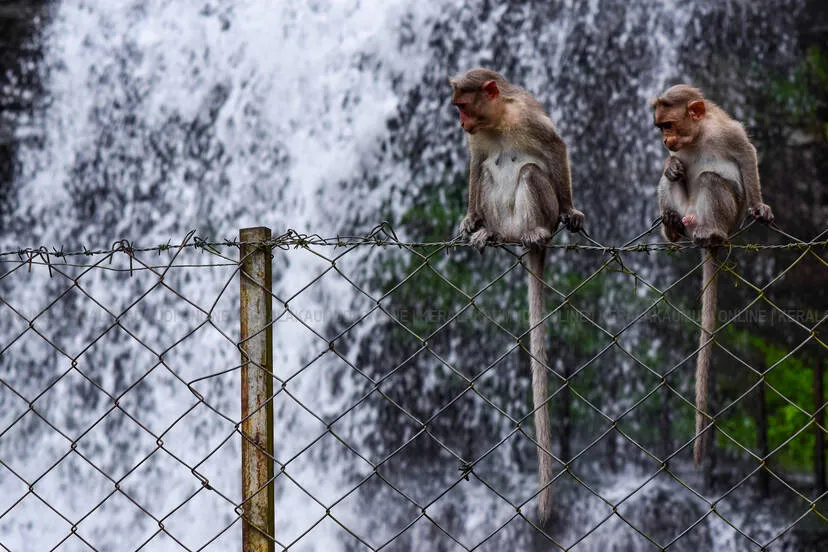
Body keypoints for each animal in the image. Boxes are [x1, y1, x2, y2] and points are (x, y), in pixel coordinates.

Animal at [450, 69, 584, 528]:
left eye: (463, 106)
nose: (461, 124)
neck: (497, 121)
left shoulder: (528, 118)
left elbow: (555, 149)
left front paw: (570, 211)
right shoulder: (478, 140)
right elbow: (476, 165)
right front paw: (469, 219)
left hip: (533, 212)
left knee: (528, 172)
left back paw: (537, 232)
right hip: (502, 217)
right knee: (491, 174)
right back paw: (487, 233)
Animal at [652, 85, 776, 466]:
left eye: (668, 124)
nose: (665, 140)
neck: (698, 134)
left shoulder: (728, 132)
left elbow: (747, 156)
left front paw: (759, 205)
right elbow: (671, 169)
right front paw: (670, 164)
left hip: (723, 214)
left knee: (711, 180)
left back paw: (712, 234)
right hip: (682, 209)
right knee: (670, 183)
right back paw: (671, 228)